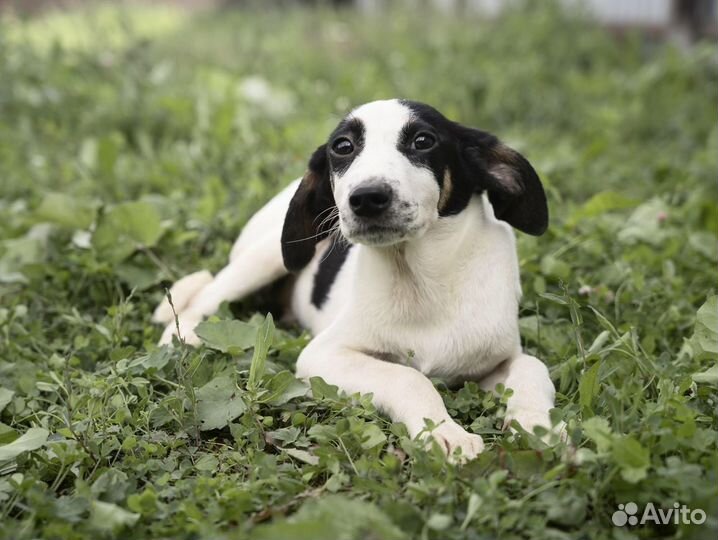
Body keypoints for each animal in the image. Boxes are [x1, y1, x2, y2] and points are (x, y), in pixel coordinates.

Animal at [155, 98, 564, 460]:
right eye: (343, 147)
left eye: (423, 140)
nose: (367, 197)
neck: (420, 280)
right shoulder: (325, 354)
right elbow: (408, 377)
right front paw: (444, 432)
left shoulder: (496, 357)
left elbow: (532, 366)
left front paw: (537, 425)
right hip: (266, 256)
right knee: (207, 293)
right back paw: (181, 335)